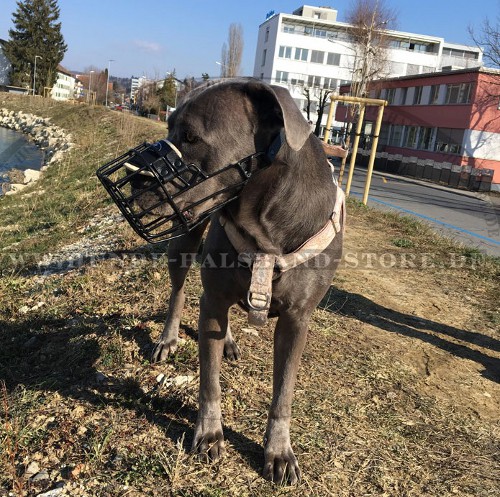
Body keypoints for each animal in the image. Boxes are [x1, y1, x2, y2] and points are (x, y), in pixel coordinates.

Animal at [134, 79, 344, 482]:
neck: (266, 225)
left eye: (190, 136)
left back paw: (228, 340)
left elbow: (284, 391)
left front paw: (279, 451)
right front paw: (209, 433)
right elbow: (209, 380)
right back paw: (168, 338)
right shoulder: (214, 298)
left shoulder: (297, 320)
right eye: (168, 126)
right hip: (183, 244)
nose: (136, 181)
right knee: (178, 291)